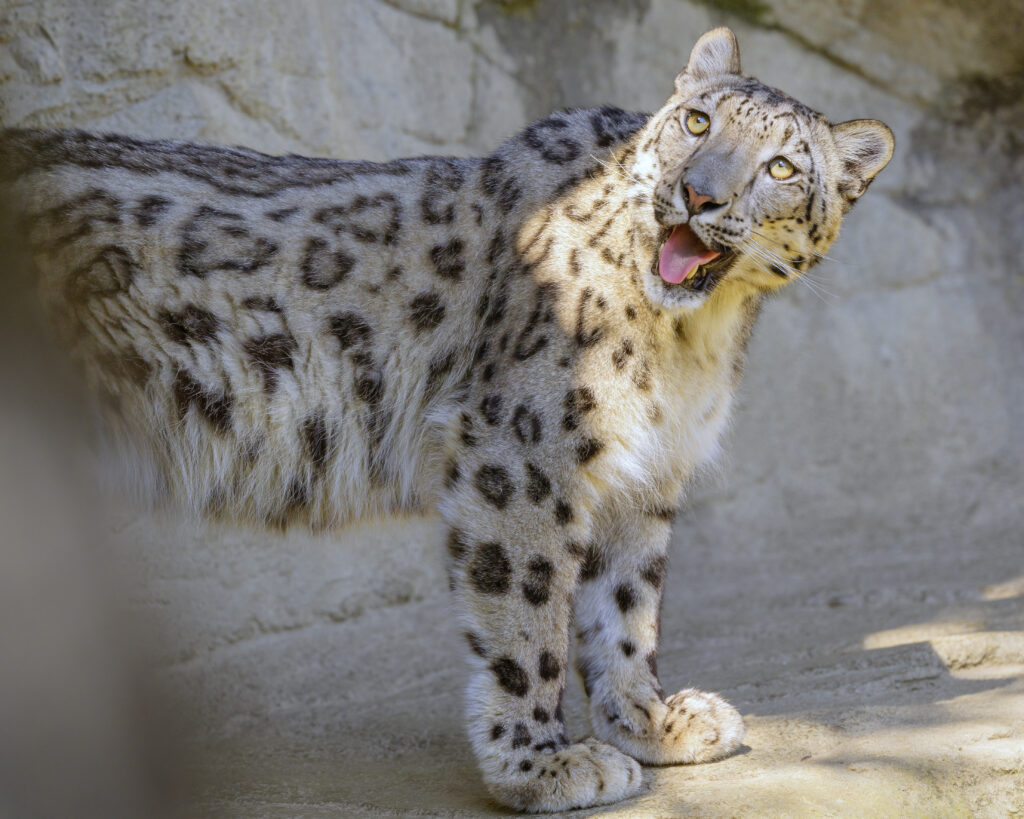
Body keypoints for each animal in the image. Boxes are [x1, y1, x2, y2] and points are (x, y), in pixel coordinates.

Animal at [1, 27, 893, 813]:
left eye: (781, 166)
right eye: (698, 122)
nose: (700, 193)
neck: (688, 340)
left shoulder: (647, 471)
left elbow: (626, 605)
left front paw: (649, 720)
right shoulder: (526, 449)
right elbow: (532, 611)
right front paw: (542, 764)